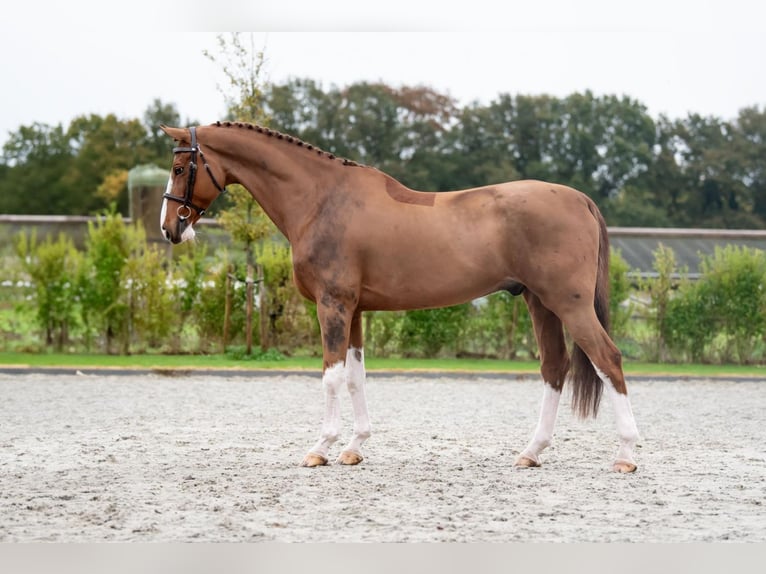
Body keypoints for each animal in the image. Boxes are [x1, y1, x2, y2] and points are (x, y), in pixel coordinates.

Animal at [160, 121, 640, 472]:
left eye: (182, 169)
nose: (170, 228)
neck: (322, 200)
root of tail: (579, 199)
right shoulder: (352, 311)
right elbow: (356, 376)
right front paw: (354, 447)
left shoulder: (332, 305)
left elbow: (331, 376)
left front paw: (321, 447)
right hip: (540, 303)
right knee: (555, 367)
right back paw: (532, 452)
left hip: (569, 304)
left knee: (607, 359)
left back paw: (625, 454)